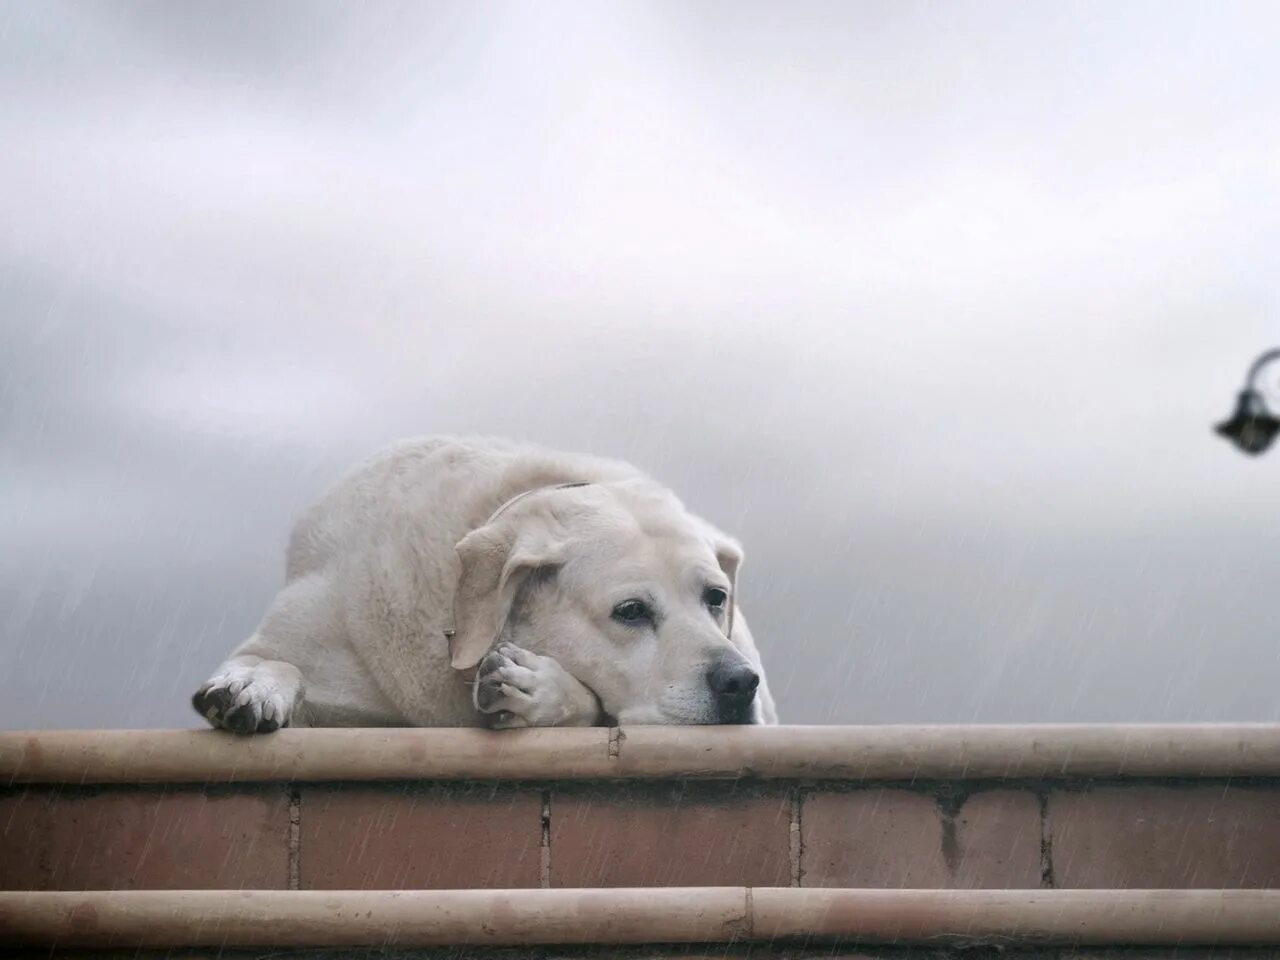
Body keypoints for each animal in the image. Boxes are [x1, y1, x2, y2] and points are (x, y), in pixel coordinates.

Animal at [188, 440, 768, 732]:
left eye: (715, 598)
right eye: (630, 610)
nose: (740, 683)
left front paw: (537, 689)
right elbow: (274, 659)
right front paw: (251, 685)